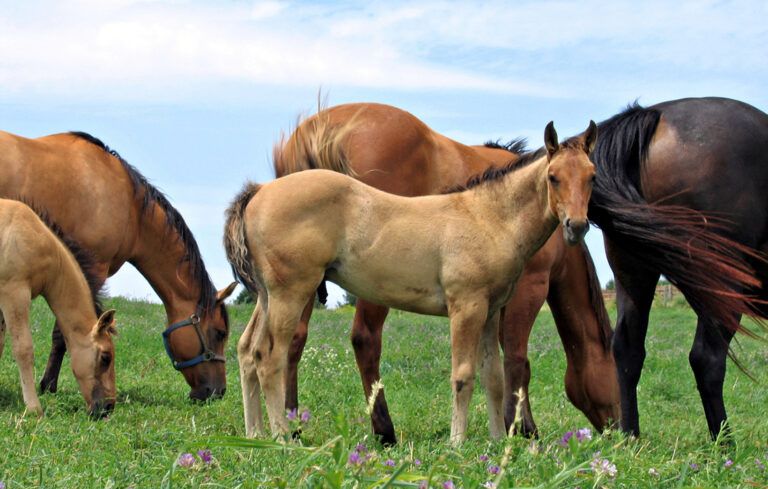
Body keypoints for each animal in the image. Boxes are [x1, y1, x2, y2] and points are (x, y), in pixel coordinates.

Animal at [225, 121, 598, 444]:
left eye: (591, 176)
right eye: (553, 177)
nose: (577, 226)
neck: (487, 218)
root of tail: (259, 192)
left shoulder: (491, 312)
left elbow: (493, 376)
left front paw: (494, 440)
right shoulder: (466, 307)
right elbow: (463, 375)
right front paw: (458, 442)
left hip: (268, 296)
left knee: (247, 351)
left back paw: (254, 433)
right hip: (291, 293)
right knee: (269, 357)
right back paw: (281, 436)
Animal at [586, 97, 768, 439]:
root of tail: (653, 114)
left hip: (633, 273)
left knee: (627, 351)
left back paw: (631, 437)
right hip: (721, 283)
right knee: (707, 359)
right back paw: (725, 444)